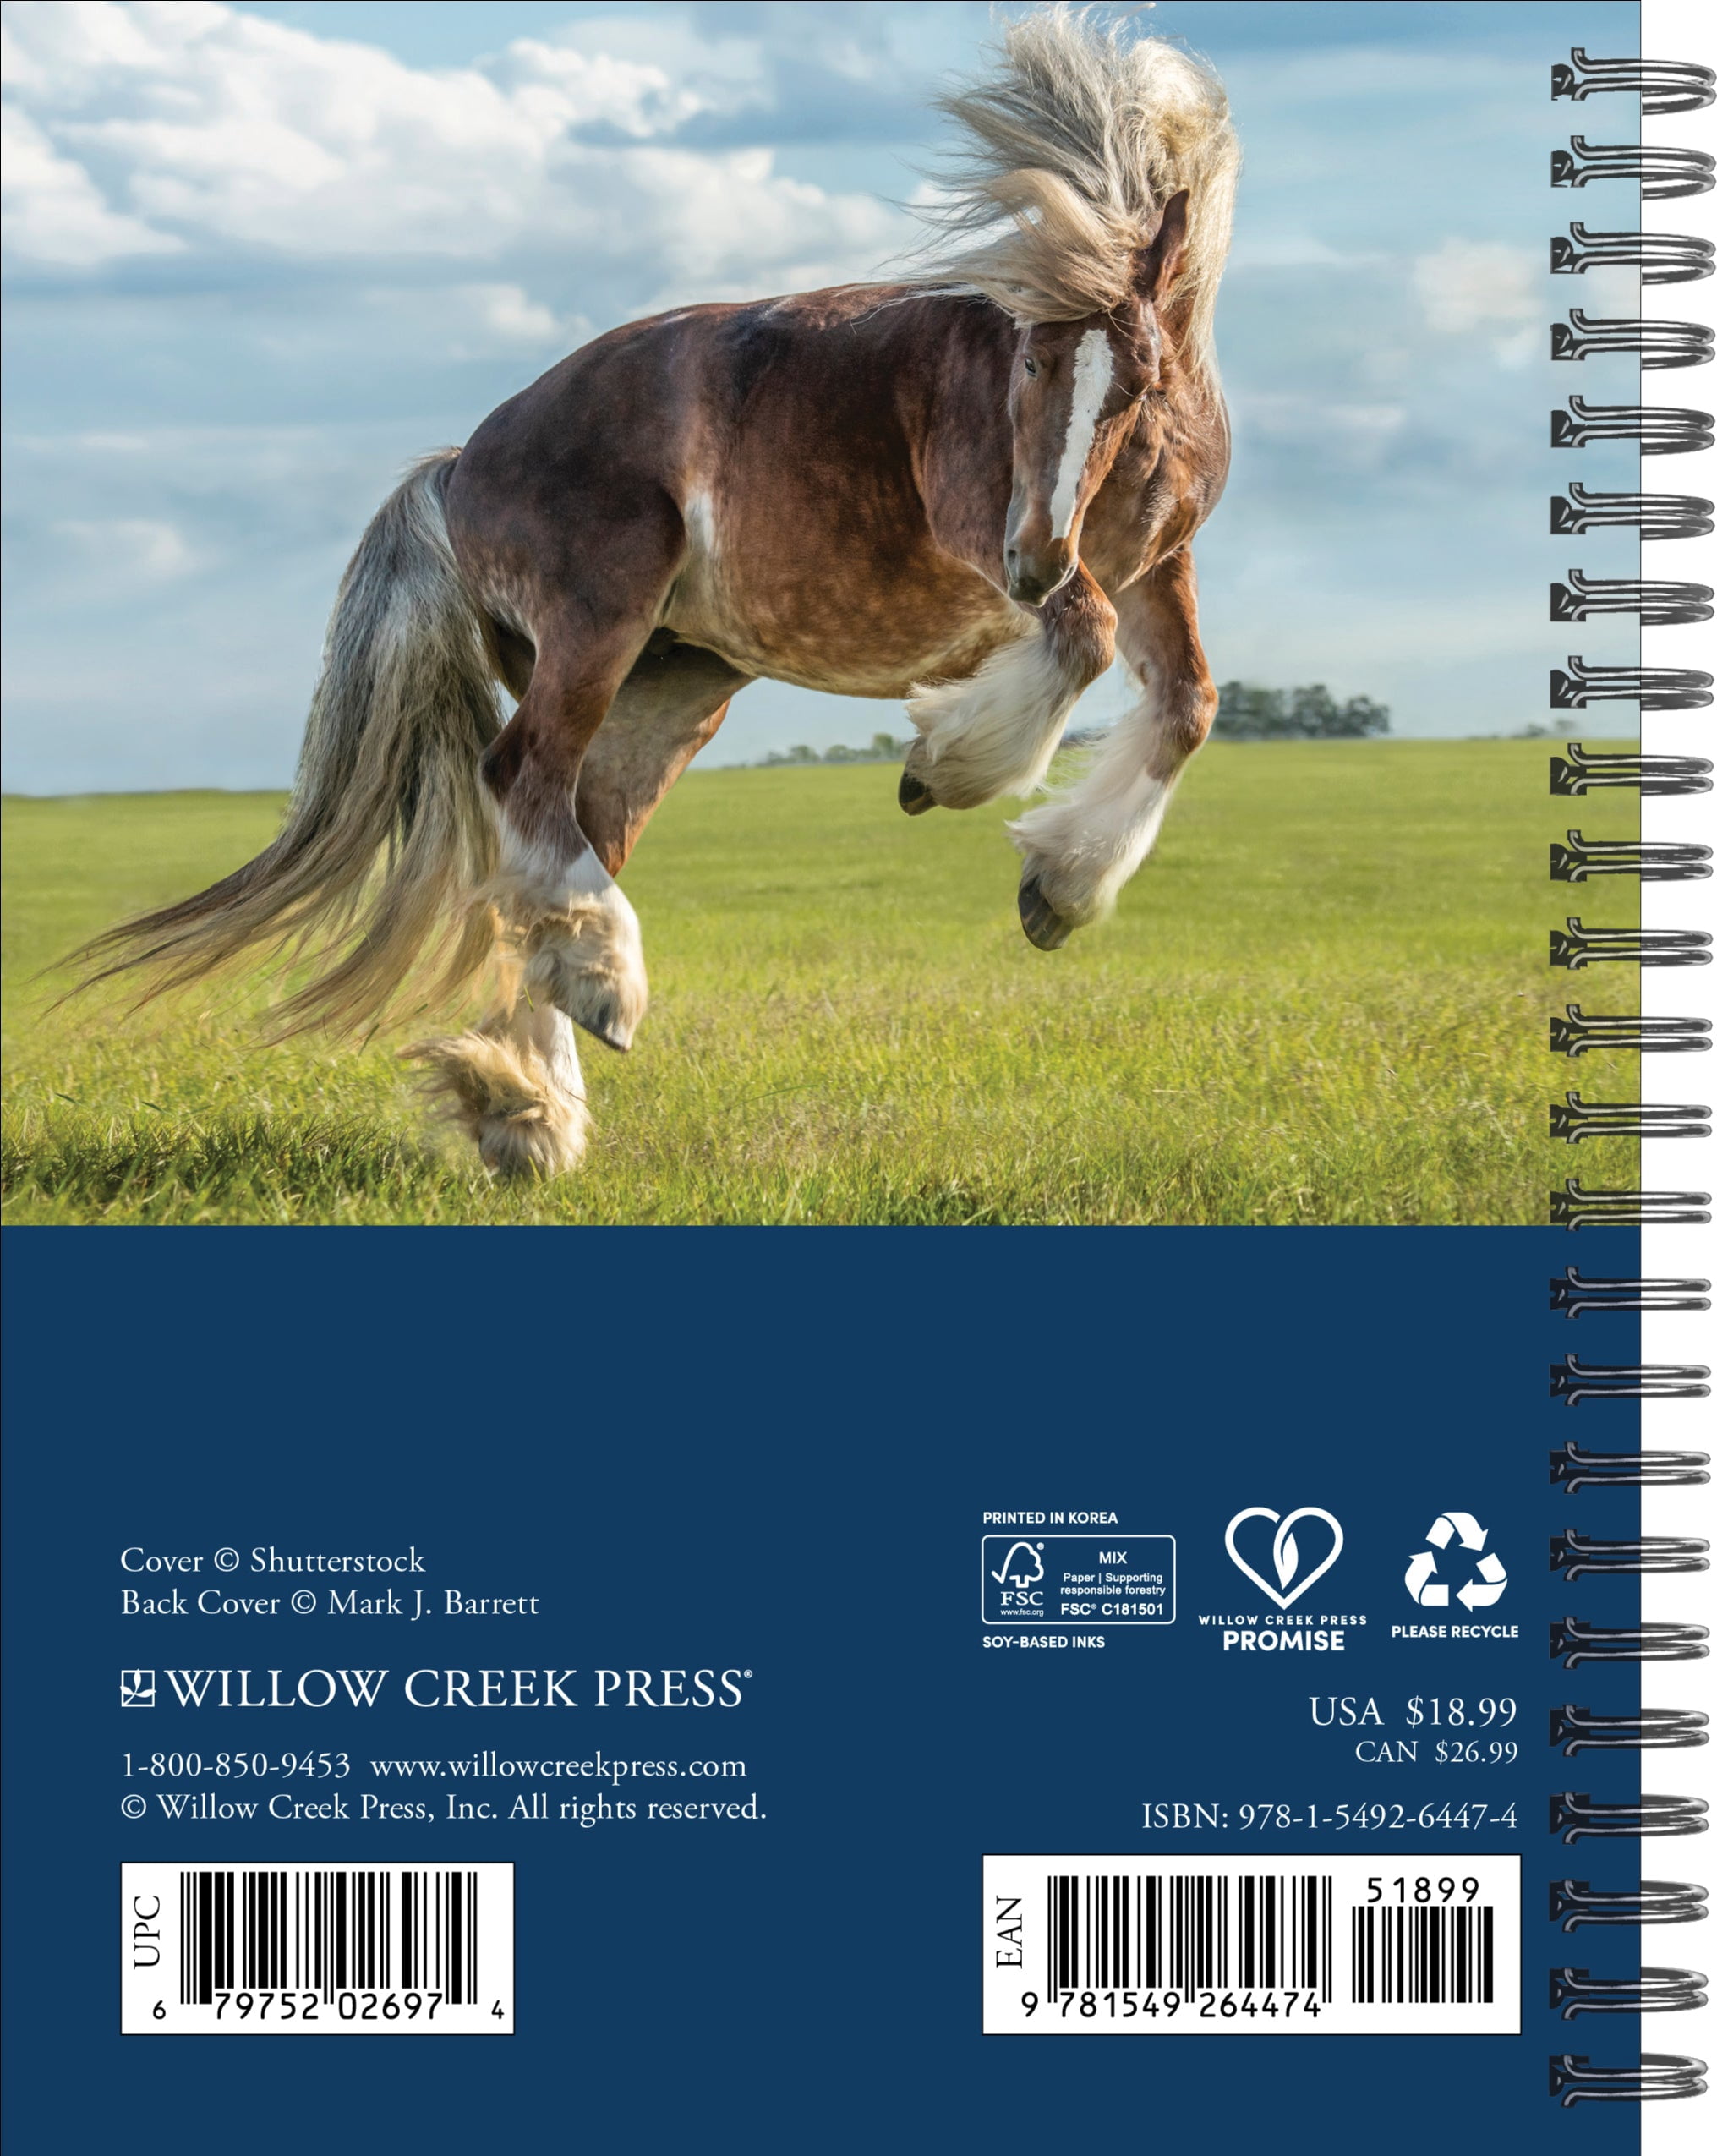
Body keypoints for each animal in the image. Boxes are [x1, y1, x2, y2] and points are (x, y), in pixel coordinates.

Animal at [75, 7, 1239, 1177]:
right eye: (1032, 362)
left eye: (1133, 382)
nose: (1034, 556)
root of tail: (462, 465)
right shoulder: (991, 540)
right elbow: (1082, 642)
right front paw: (946, 767)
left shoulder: (1155, 569)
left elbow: (1186, 705)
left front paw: (1061, 887)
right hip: (600, 623)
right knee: (520, 777)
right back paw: (596, 1005)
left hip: (668, 695)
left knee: (556, 842)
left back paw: (527, 1107)